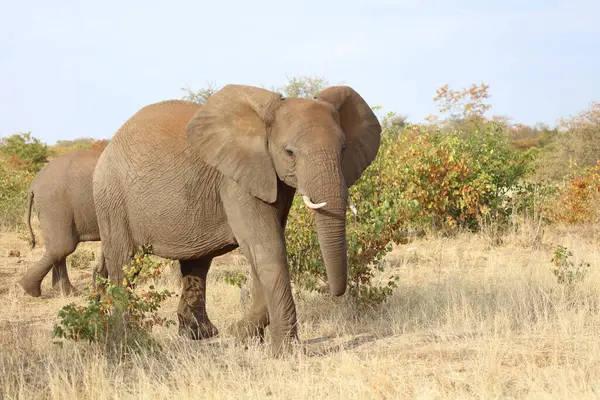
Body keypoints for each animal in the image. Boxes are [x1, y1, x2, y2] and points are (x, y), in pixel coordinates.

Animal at [18, 148, 108, 296]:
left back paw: (65, 292)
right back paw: (30, 289)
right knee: (62, 247)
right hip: (55, 205)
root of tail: (33, 184)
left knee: (57, 248)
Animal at [94, 85, 382, 356]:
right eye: (289, 152)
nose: (336, 293)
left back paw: (200, 335)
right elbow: (267, 247)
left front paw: (245, 335)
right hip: (111, 198)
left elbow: (262, 248)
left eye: (343, 149)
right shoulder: (235, 180)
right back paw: (127, 336)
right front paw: (282, 351)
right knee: (124, 262)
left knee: (196, 264)